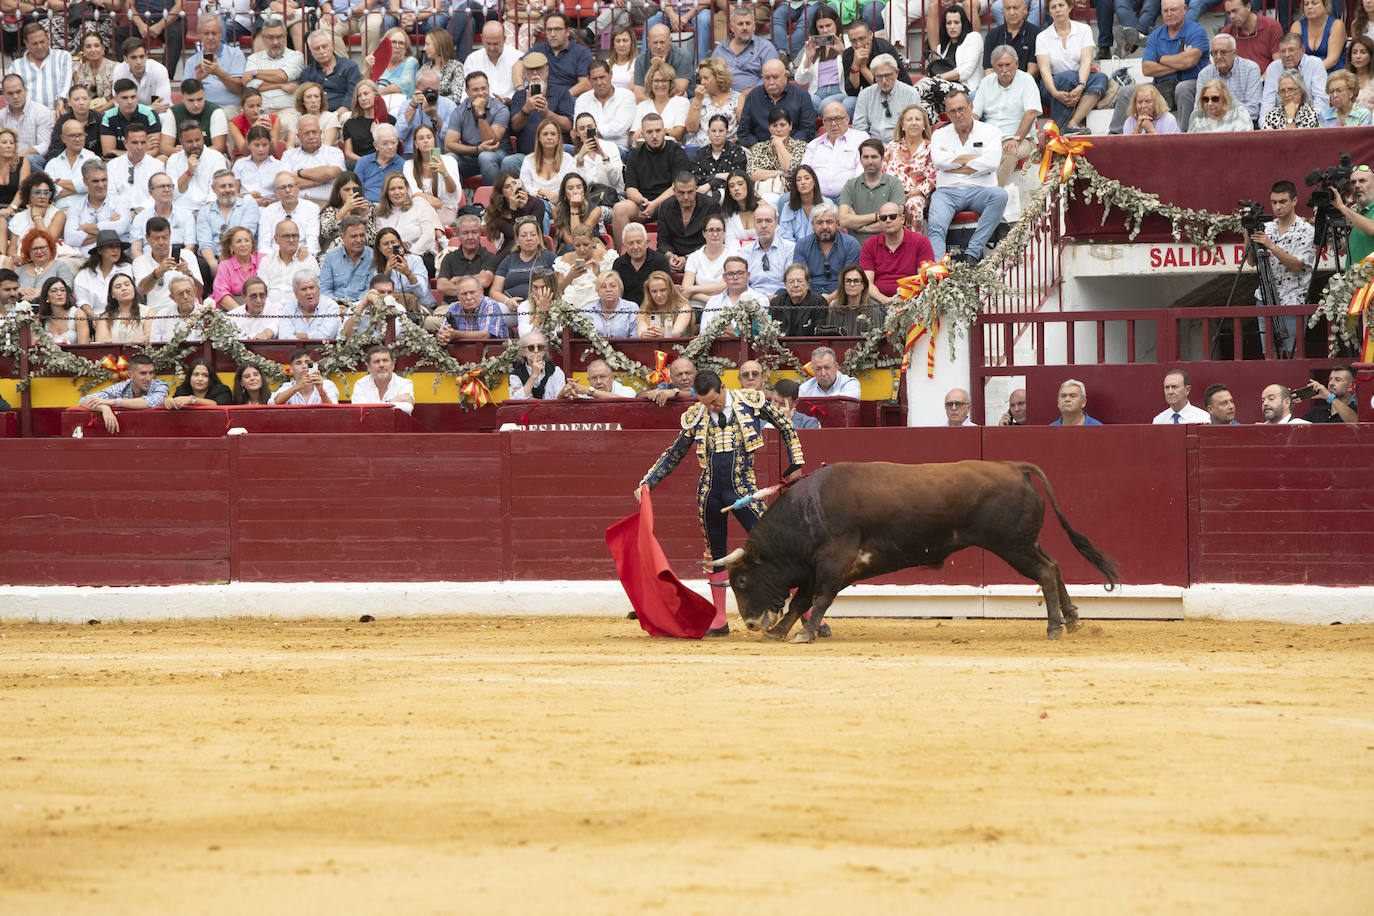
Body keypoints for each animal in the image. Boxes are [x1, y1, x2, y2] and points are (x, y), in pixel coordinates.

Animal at [714, 458, 1121, 645]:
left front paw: (803, 634)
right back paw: (1072, 619)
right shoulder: (819, 568)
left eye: (743, 580)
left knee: (1046, 572)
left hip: (1012, 546)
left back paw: (1053, 627)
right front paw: (780, 632)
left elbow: (818, 599)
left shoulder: (833, 564)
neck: (808, 511)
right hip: (1024, 543)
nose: (750, 623)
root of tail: (1013, 467)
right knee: (1053, 565)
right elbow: (801, 600)